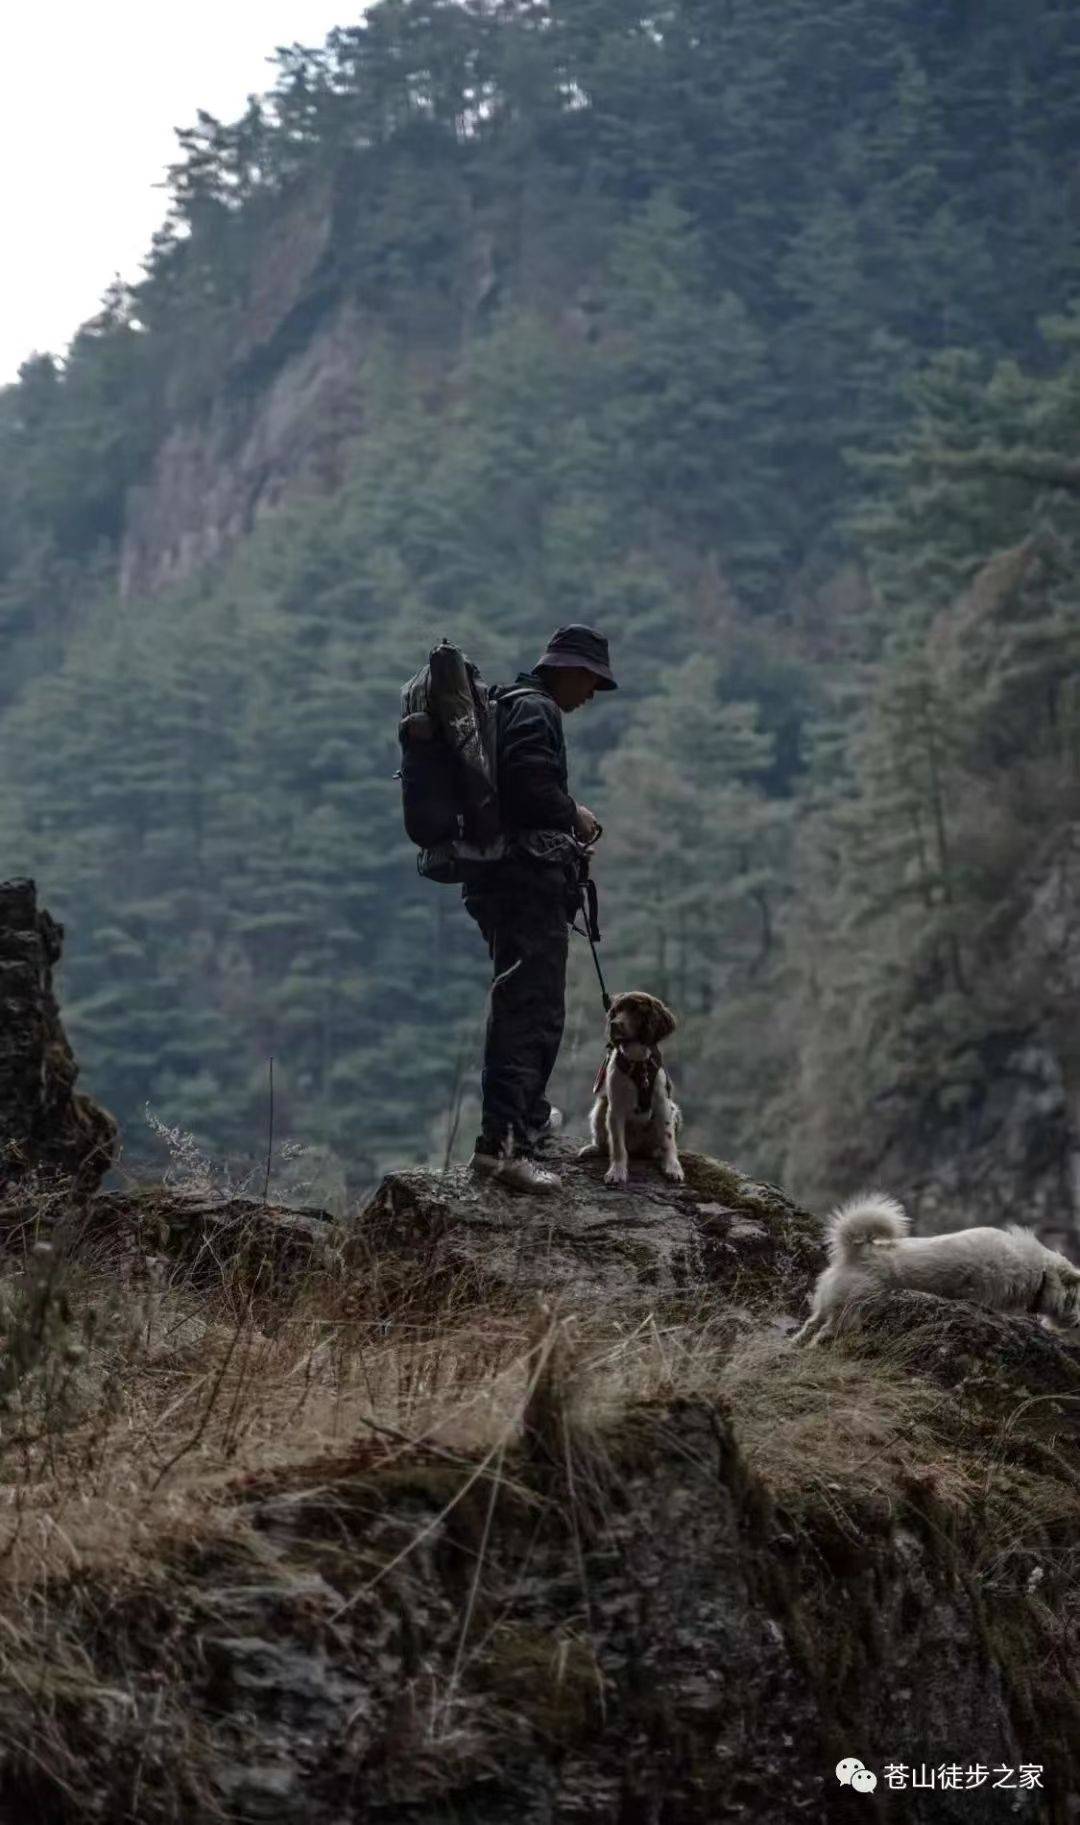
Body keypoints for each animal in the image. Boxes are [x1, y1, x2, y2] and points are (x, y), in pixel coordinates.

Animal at [788, 1189, 1080, 1350]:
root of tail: (857, 1252)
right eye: (1077, 1297)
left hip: (829, 1301)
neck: (1039, 1271)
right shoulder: (987, 1296)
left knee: (812, 1324)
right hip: (854, 1308)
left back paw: (797, 1344)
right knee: (825, 1331)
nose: (1077, 1324)